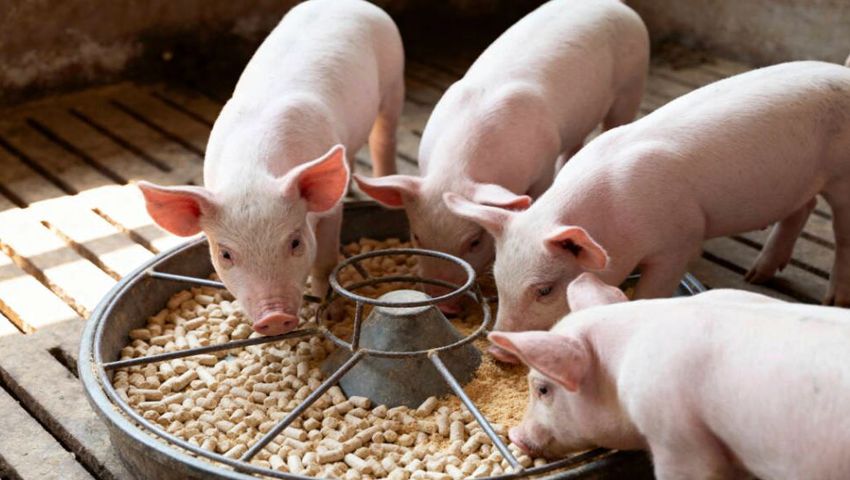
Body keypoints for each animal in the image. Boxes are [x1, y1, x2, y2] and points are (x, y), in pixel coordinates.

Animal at [137, 0, 405, 335]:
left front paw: (330, 316)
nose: (274, 318)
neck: (250, 173)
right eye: (225, 254)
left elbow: (326, 261)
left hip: (394, 76)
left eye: (295, 242)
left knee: (385, 135)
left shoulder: (330, 213)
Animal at [354, 0, 649, 312]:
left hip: (632, 83)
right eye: (416, 236)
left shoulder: (543, 164)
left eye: (474, 241)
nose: (445, 307)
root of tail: (616, 5)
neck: (457, 167)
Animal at [447, 59, 850, 342]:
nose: (498, 349)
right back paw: (757, 274)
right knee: (802, 208)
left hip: (841, 177)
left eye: (545, 290)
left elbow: (653, 291)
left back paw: (833, 301)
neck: (613, 212)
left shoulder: (681, 240)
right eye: (498, 278)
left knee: (840, 231)